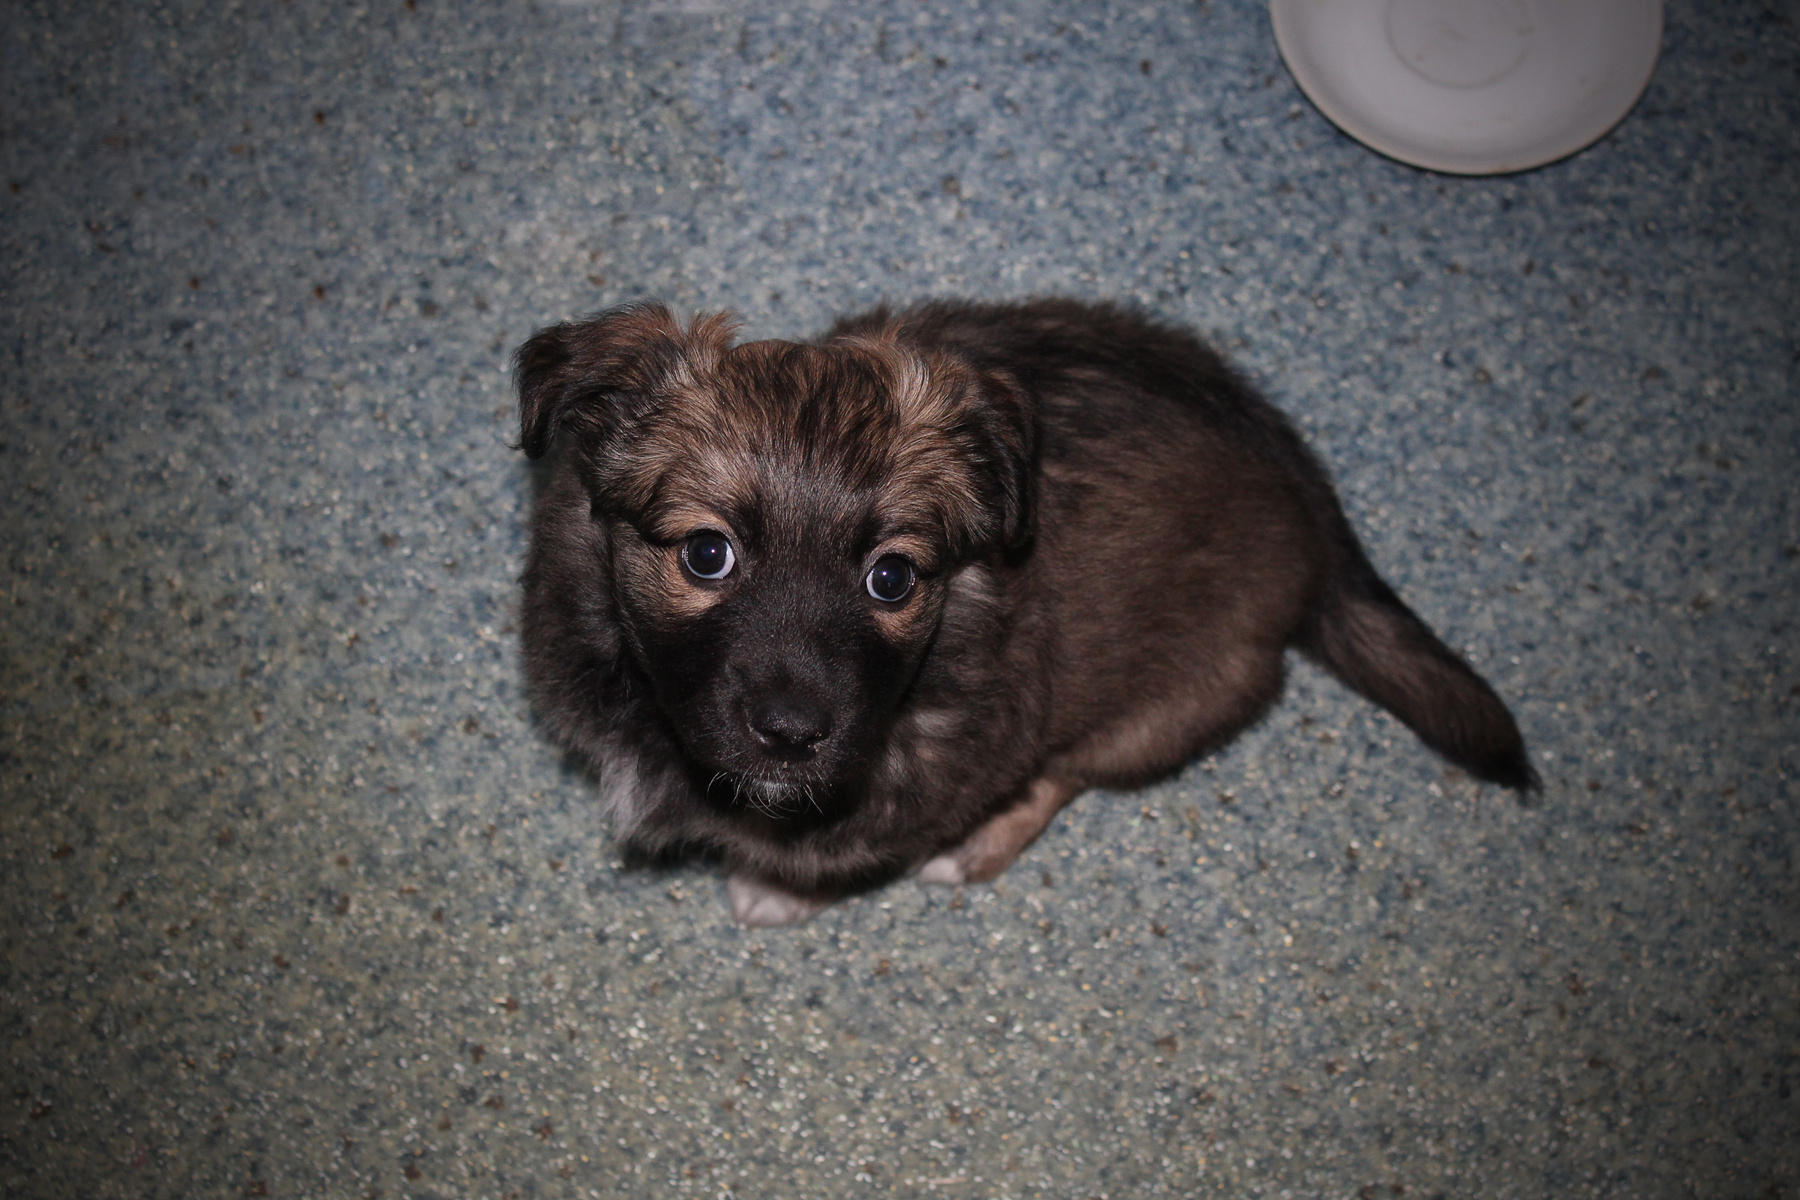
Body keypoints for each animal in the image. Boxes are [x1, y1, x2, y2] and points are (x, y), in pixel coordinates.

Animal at [514, 299, 1536, 927]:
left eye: (892, 578)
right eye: (706, 554)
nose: (795, 734)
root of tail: (1315, 514)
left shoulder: (941, 772)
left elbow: (838, 853)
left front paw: (778, 885)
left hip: (1164, 708)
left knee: (1065, 776)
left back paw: (976, 849)